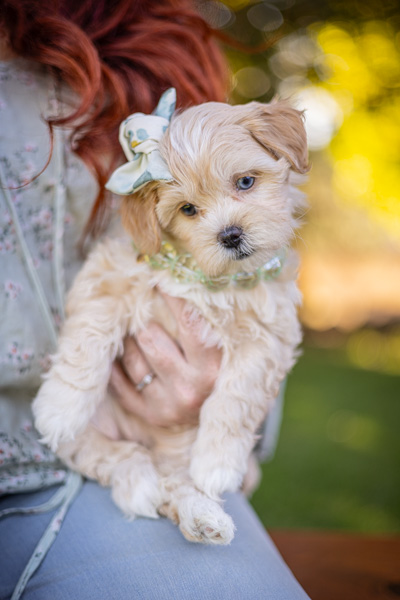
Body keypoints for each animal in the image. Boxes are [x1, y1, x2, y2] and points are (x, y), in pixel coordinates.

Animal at [34, 92, 310, 544]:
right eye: (187, 209)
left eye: (245, 182)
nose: (230, 235)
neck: (204, 276)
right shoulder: (108, 278)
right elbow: (87, 341)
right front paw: (59, 408)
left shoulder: (268, 336)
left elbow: (235, 400)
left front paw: (217, 464)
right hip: (92, 440)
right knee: (118, 458)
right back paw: (142, 483)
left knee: (176, 483)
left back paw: (204, 517)